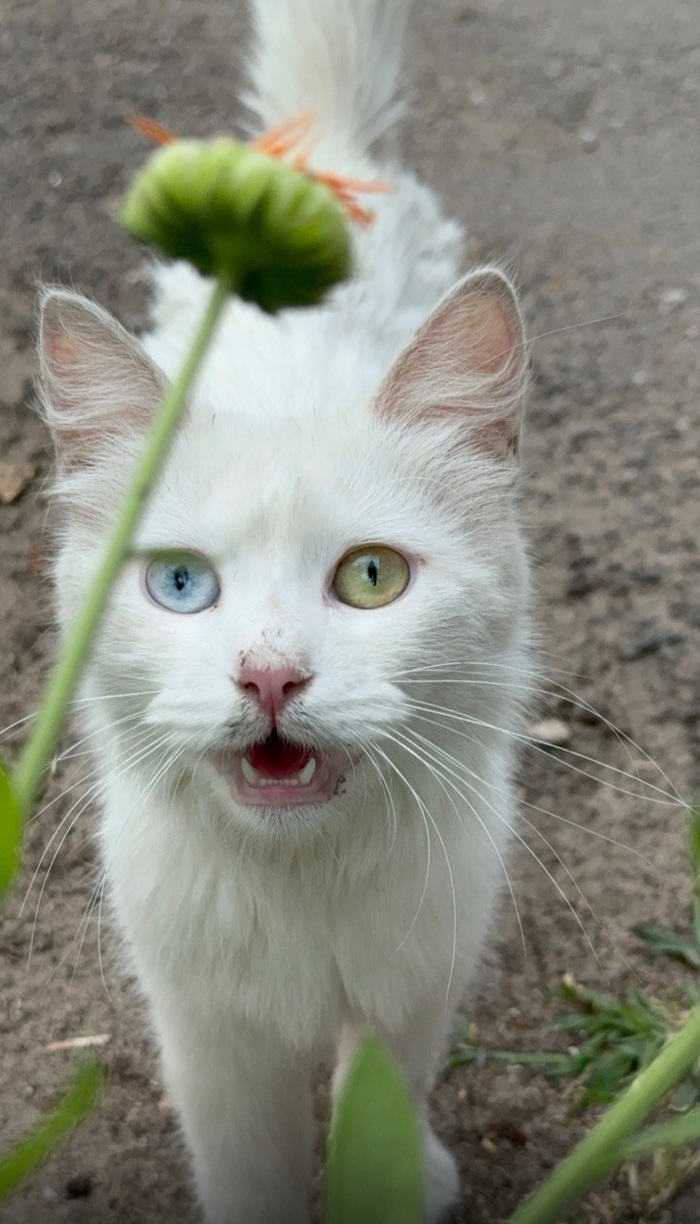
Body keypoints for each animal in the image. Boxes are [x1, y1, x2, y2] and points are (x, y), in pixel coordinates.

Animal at [36, 2, 531, 1224]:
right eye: (179, 585)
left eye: (372, 578)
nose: (268, 676)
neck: (302, 880)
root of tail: (320, 160)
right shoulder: (209, 1033)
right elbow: (250, 1165)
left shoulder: (413, 986)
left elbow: (379, 1108)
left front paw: (400, 1176)